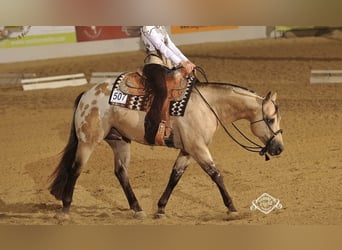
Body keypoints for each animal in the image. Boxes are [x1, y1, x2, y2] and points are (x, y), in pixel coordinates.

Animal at [48, 67, 284, 220]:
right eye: (271, 119)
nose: (279, 148)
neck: (208, 105)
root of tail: (87, 95)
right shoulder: (198, 148)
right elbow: (216, 174)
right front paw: (232, 208)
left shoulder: (188, 149)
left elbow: (175, 176)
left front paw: (160, 208)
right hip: (88, 141)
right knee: (75, 169)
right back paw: (66, 209)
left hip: (119, 141)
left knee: (121, 172)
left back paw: (138, 209)